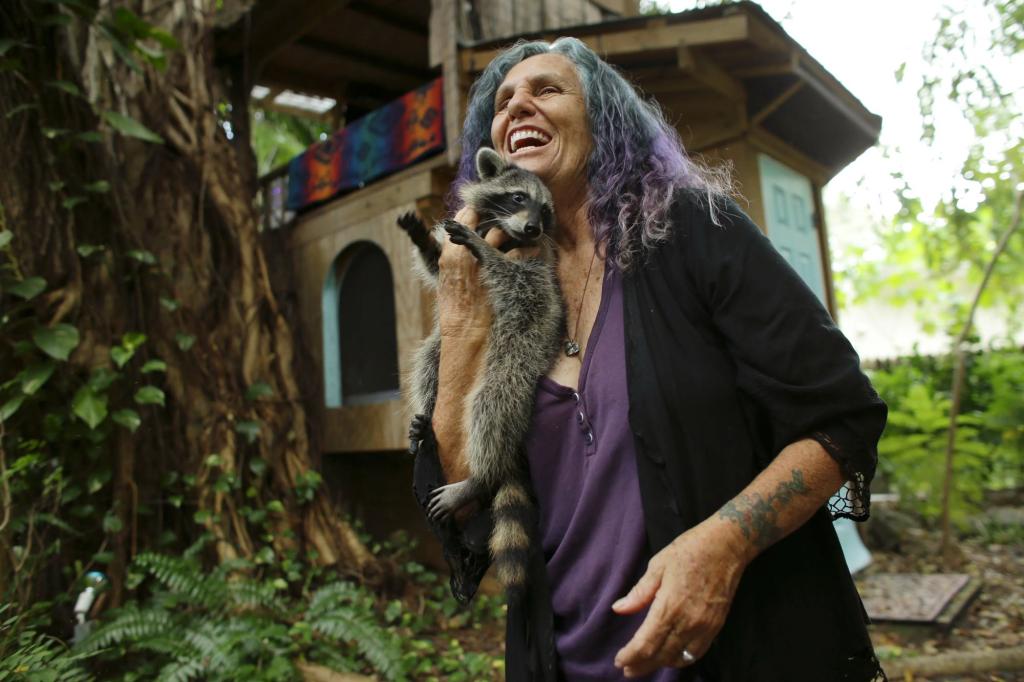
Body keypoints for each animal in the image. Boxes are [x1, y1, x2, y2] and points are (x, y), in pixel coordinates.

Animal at [397, 146, 569, 598]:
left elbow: (516, 279)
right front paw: (423, 240)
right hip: (443, 348)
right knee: (429, 358)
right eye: (518, 198)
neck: (507, 233)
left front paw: (482, 250)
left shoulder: (536, 267)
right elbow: (437, 267)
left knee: (495, 400)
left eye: (546, 211)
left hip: (524, 347)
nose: (532, 227)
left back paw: (481, 476)